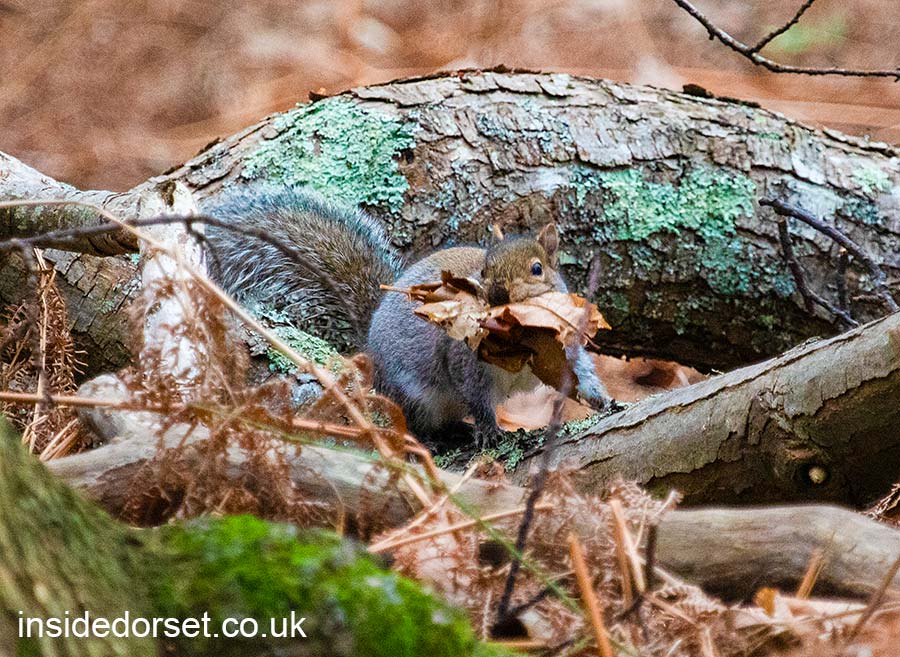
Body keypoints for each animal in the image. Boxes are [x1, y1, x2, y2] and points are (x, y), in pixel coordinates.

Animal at [204, 185, 613, 448]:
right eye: (484, 270)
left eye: (537, 269)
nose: (497, 293)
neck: (523, 330)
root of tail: (369, 344)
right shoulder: (464, 359)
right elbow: (476, 395)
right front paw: (488, 430)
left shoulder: (563, 345)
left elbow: (580, 373)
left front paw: (603, 401)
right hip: (415, 392)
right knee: (416, 422)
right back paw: (438, 438)